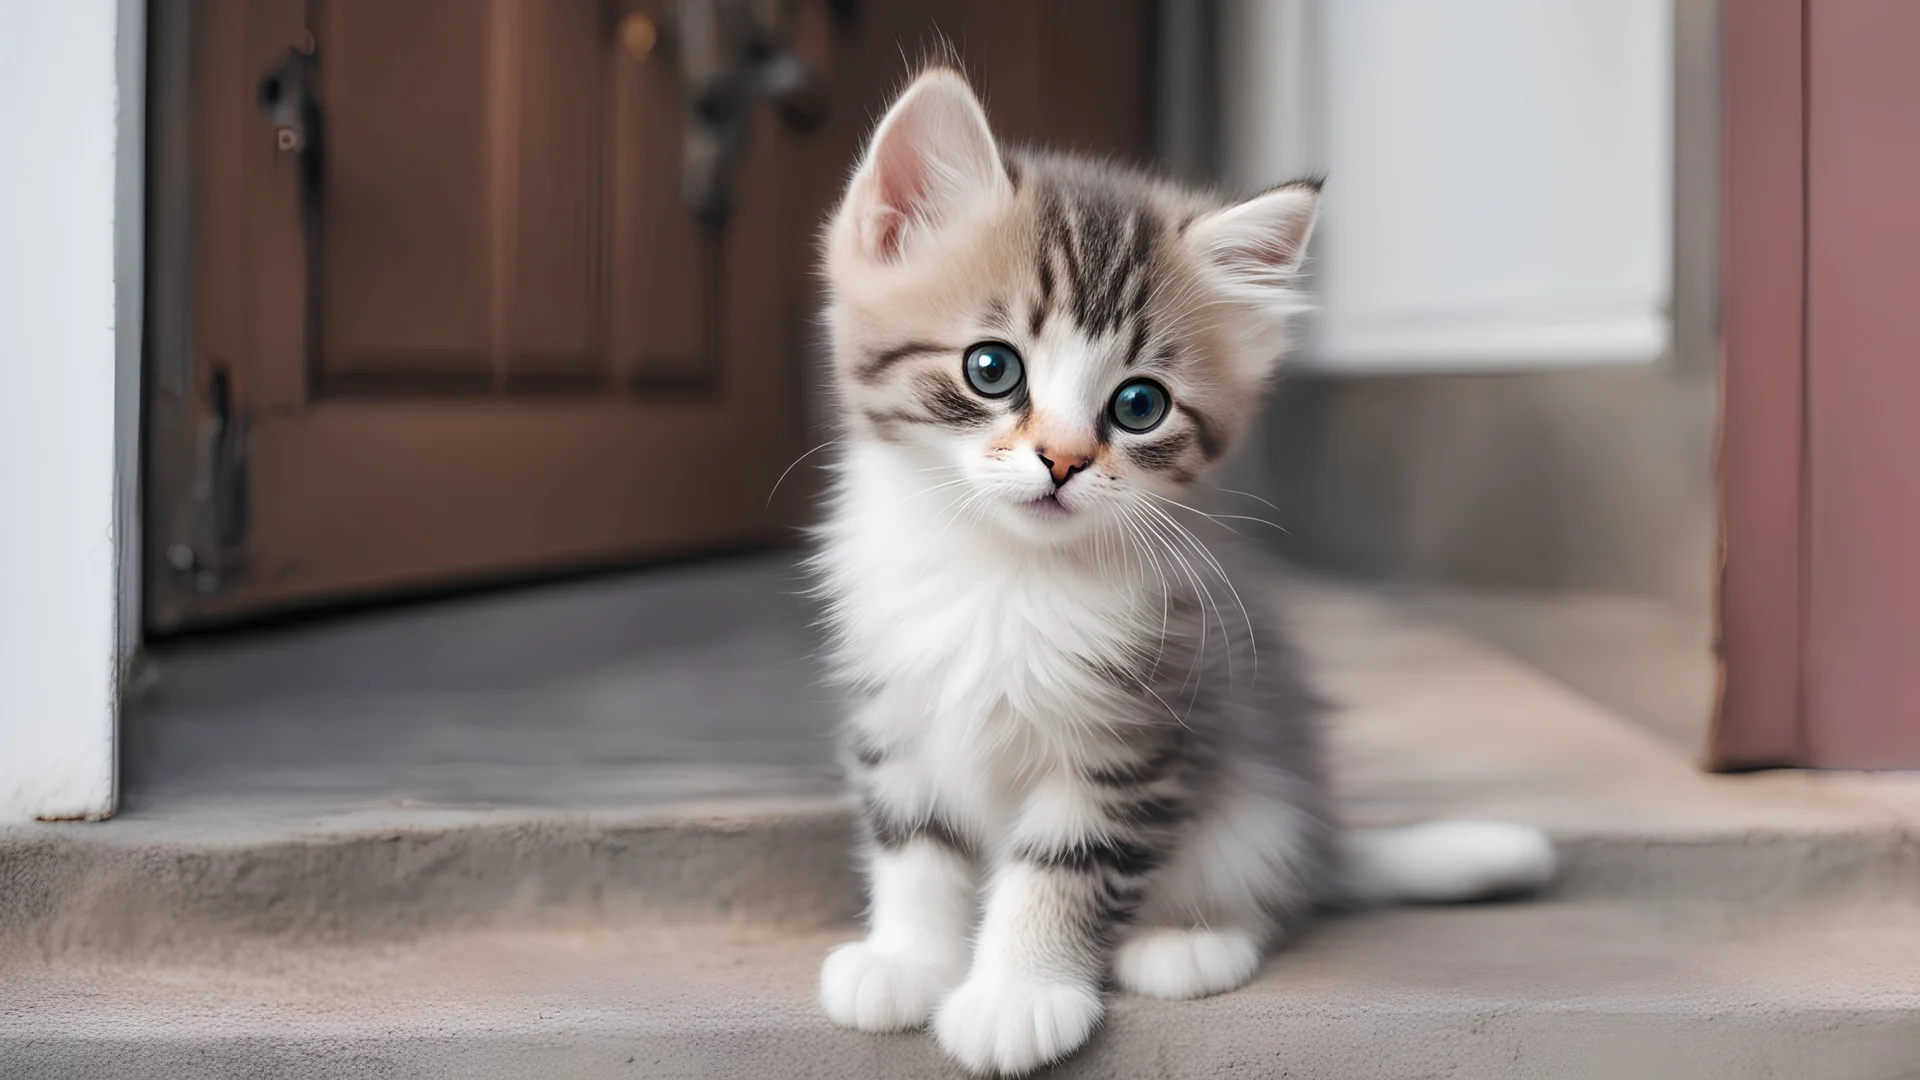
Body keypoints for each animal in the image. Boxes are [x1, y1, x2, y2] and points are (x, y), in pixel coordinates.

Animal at [810, 69, 1559, 1076]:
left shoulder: (1137, 732)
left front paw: (1017, 995)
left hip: (1253, 799)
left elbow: (1062, 869)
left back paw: (1192, 942)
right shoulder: (893, 708)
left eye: (1139, 405)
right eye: (991, 368)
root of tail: (1322, 835)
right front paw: (908, 960)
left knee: (1267, 889)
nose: (1062, 462)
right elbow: (915, 844)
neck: (1006, 572)